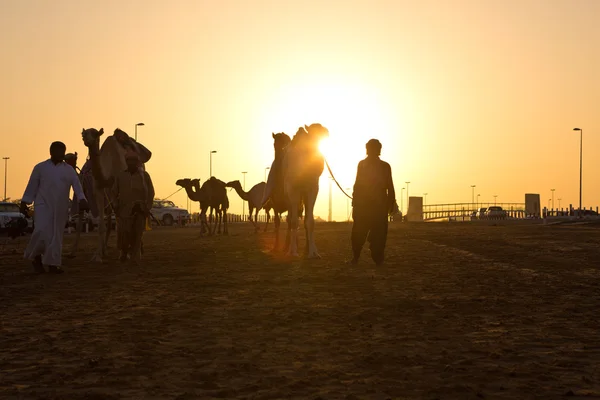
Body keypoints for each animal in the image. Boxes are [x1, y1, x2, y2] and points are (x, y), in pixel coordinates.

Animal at [79, 126, 152, 260]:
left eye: (96, 134)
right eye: (83, 134)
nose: (87, 140)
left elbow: (120, 220)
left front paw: (124, 252)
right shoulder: (99, 189)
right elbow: (102, 225)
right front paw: (98, 255)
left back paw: (136, 250)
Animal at [282, 123, 328, 258]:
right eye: (313, 133)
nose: (327, 132)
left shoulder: (313, 188)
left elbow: (310, 222)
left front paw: (313, 252)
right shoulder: (292, 189)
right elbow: (293, 221)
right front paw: (293, 251)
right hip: (288, 194)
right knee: (290, 218)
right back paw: (287, 247)